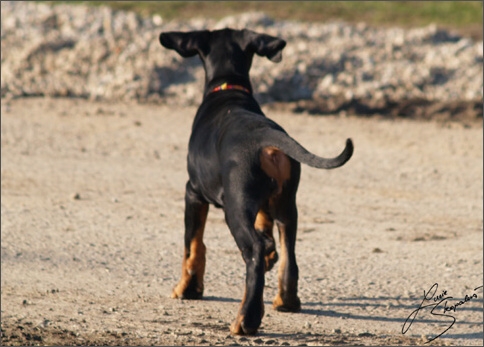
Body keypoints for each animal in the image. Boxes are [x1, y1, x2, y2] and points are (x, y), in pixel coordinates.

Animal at [161, 28, 354, 336]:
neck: (230, 89)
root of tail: (265, 137)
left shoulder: (193, 192)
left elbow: (193, 245)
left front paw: (187, 289)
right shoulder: (266, 201)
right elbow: (266, 229)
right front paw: (270, 255)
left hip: (235, 207)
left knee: (253, 250)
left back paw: (246, 319)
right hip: (288, 204)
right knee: (289, 255)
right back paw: (286, 300)